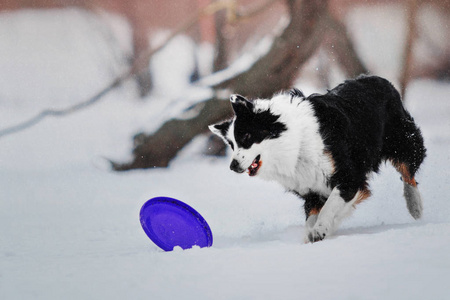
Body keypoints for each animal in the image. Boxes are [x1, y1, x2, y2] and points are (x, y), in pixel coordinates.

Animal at [209, 75, 428, 244]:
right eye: (231, 145)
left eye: (246, 137)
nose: (233, 166)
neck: (296, 144)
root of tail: (379, 79)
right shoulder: (310, 189)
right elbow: (312, 216)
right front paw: (314, 235)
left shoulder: (349, 177)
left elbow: (330, 206)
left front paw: (321, 230)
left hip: (403, 142)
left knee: (408, 172)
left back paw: (415, 206)